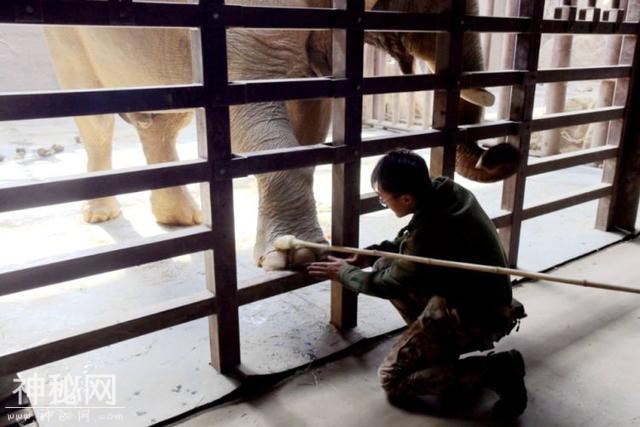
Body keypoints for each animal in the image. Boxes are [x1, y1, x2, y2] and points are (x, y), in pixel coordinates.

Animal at [42, 0, 520, 270]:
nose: (501, 151)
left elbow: (310, 112)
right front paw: (295, 255)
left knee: (165, 119)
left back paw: (181, 219)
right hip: (68, 38)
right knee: (96, 120)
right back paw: (103, 216)